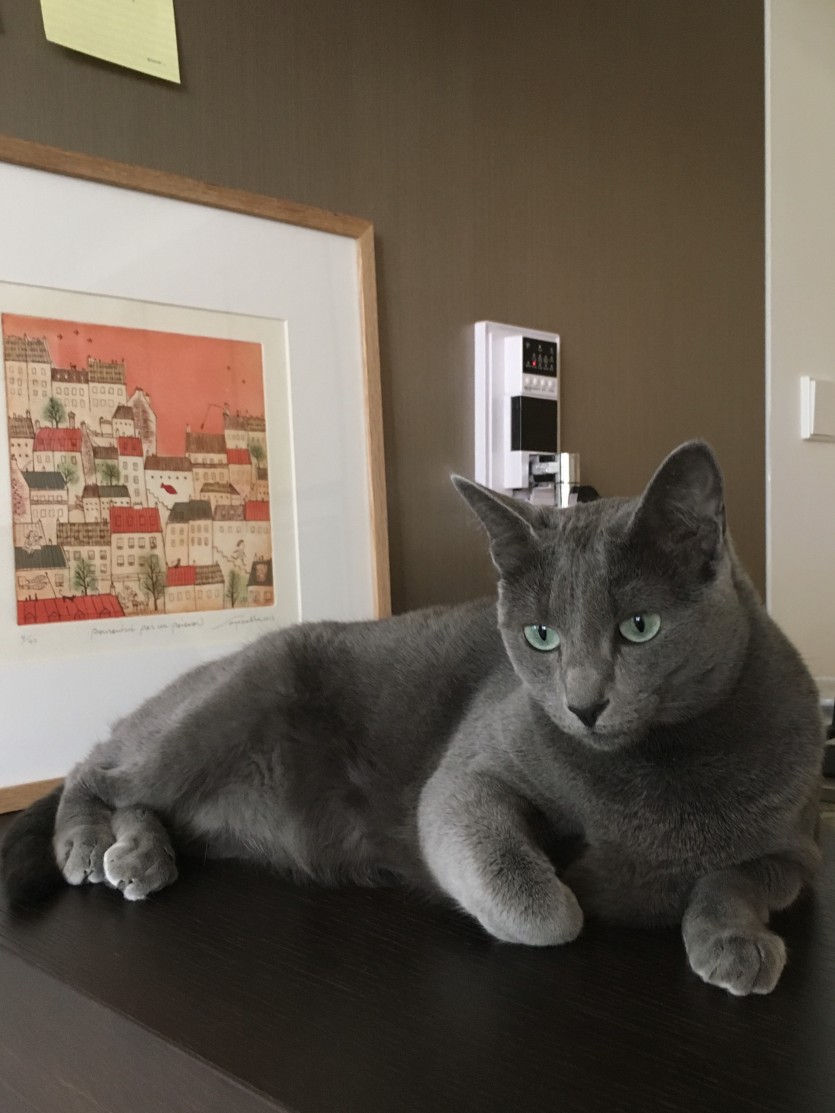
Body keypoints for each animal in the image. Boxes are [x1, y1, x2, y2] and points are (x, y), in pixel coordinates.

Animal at [0, 441, 824, 996]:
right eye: (542, 637)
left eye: (640, 627)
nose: (584, 704)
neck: (660, 769)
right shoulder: (467, 778)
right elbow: (544, 912)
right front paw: (579, 887)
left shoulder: (798, 845)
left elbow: (740, 877)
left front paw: (732, 941)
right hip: (228, 701)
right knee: (98, 768)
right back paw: (88, 842)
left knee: (142, 799)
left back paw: (142, 856)